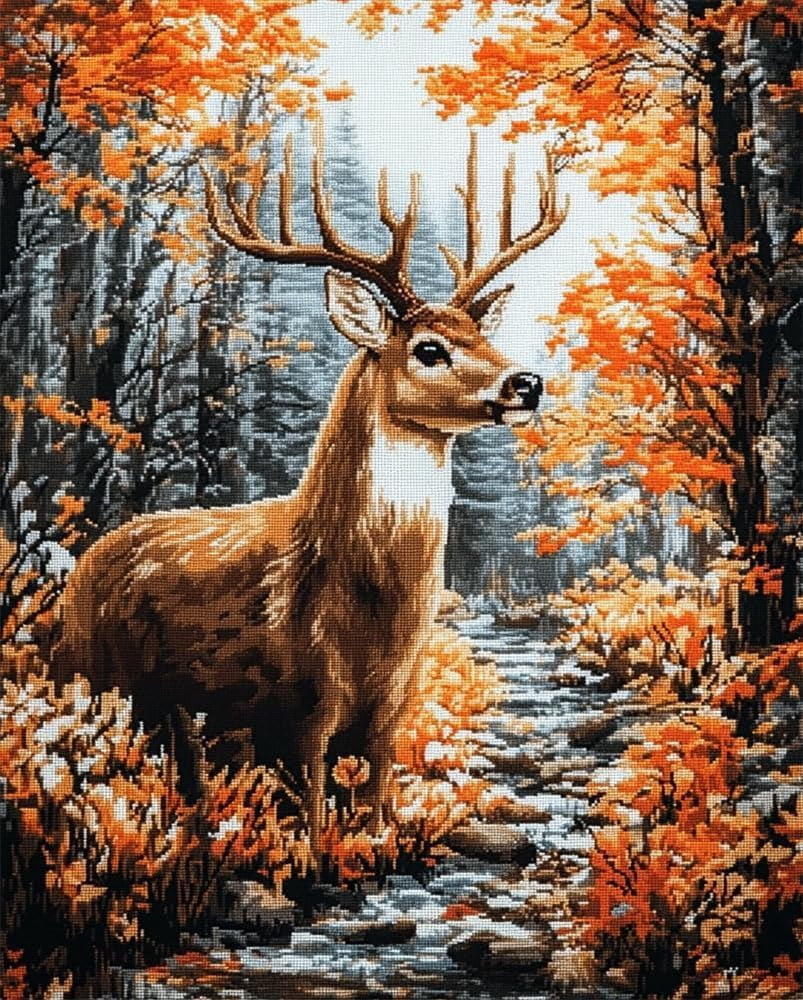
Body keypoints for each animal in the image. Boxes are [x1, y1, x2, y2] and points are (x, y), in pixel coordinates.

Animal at [49, 128, 567, 861]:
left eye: (479, 334)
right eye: (429, 348)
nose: (525, 383)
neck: (367, 603)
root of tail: (82, 568)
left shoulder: (389, 710)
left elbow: (375, 810)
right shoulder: (299, 706)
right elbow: (315, 828)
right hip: (104, 675)